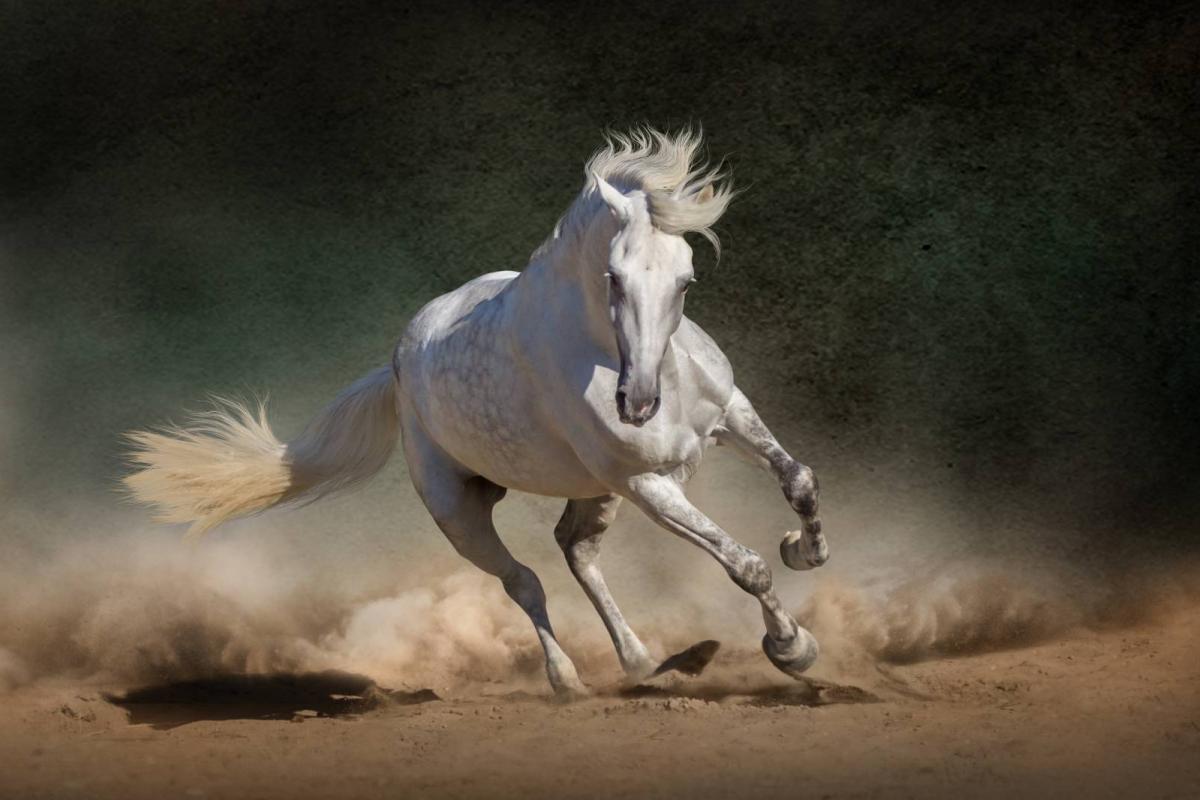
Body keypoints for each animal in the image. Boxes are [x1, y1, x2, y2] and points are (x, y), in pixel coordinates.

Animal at [124, 127, 830, 697]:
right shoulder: (647, 484)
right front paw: (792, 648)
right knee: (525, 581)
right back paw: (572, 680)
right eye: (613, 277)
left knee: (575, 550)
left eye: (686, 280)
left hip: (592, 489)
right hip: (460, 511)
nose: (638, 404)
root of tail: (399, 365)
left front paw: (805, 550)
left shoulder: (729, 415)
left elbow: (798, 480)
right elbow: (744, 563)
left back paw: (647, 663)